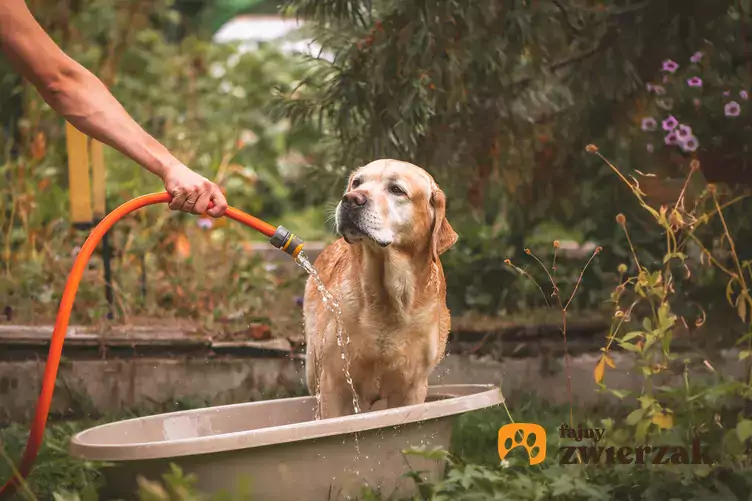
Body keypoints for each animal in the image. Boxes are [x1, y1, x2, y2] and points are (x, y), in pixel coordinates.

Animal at [302, 158, 456, 416]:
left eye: (396, 189)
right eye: (357, 182)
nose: (351, 199)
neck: (386, 298)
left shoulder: (412, 387)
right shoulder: (334, 381)